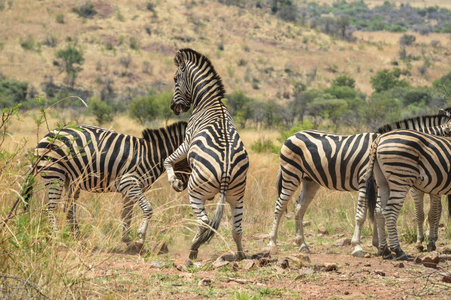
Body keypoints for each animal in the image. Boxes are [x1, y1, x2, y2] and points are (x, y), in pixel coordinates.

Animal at [26, 122, 190, 248]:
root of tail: (46, 135)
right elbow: (148, 209)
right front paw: (140, 238)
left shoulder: (129, 189)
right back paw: (57, 239)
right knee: (50, 209)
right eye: (190, 160)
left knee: (68, 208)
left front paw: (127, 240)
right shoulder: (128, 183)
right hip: (55, 174)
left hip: (70, 179)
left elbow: (126, 214)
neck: (151, 154)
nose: (181, 186)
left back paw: (78, 238)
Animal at [165, 48, 251, 260]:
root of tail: (227, 170)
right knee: (237, 229)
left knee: (203, 221)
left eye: (175, 79)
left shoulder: (187, 141)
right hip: (238, 195)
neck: (208, 101)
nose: (173, 107)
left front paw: (175, 182)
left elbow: (168, 160)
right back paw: (240, 255)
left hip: (195, 191)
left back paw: (193, 249)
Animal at [268, 111, 451, 256]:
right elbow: (363, 215)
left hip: (310, 180)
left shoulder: (376, 185)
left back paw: (302, 245)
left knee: (299, 207)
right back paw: (272, 244)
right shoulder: (365, 181)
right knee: (279, 206)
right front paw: (357, 246)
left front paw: (378, 245)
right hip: (291, 174)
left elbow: (376, 213)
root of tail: (293, 134)